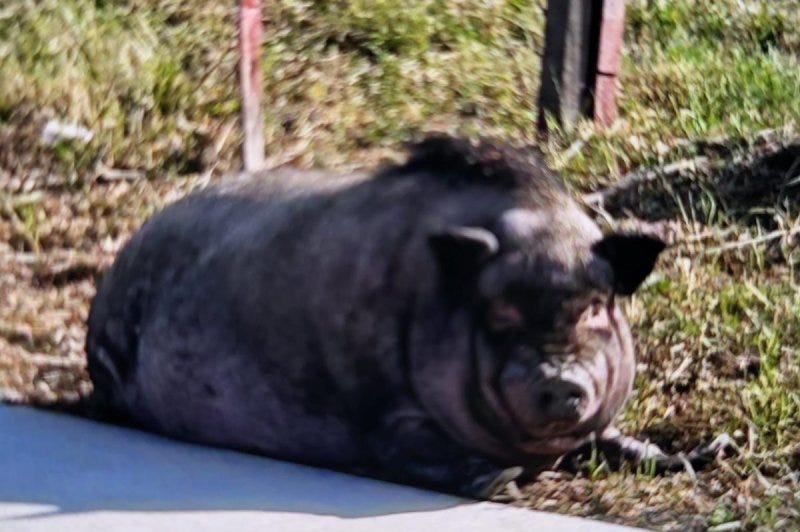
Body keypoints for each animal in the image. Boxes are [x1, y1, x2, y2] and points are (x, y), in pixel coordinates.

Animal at [86, 134, 712, 498]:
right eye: (501, 316)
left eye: (595, 310)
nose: (559, 380)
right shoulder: (383, 417)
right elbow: (414, 452)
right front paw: (505, 484)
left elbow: (617, 437)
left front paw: (704, 454)